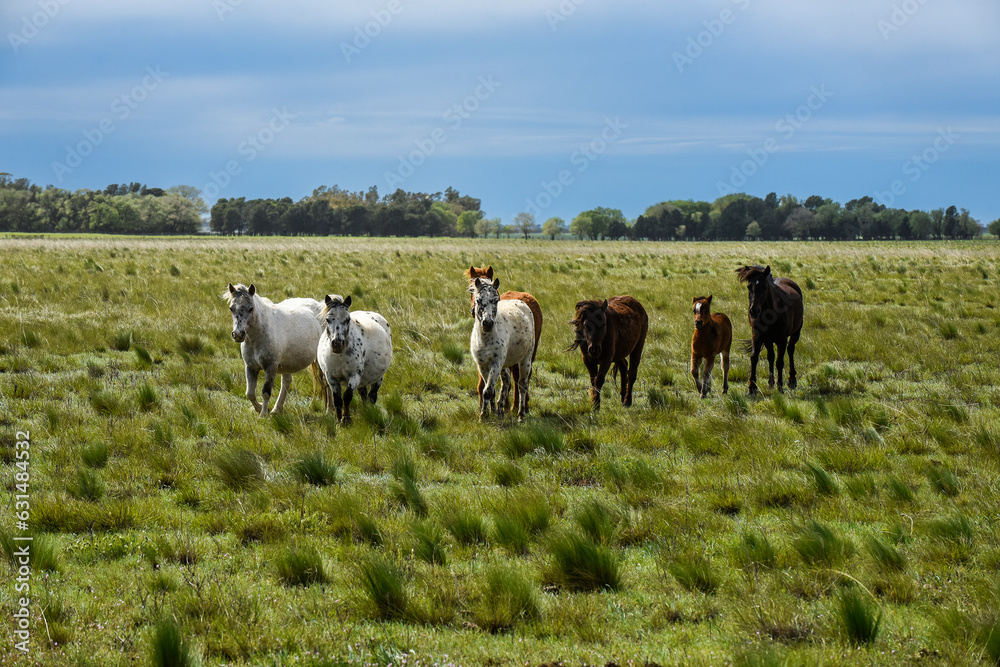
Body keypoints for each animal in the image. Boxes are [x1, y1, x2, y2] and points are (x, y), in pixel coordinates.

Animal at [224, 283, 324, 418]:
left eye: (250, 308)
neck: (257, 337)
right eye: (231, 308)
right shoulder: (251, 367)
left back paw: (330, 410)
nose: (238, 335)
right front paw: (259, 407)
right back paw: (277, 409)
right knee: (286, 381)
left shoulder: (271, 366)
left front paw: (263, 414)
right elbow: (250, 393)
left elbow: (266, 392)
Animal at [316, 294, 393, 424]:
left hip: (378, 377)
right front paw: (338, 422)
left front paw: (346, 420)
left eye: (347, 319)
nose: (337, 344)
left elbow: (347, 397)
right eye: (327, 319)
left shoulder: (354, 375)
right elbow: (337, 400)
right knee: (364, 394)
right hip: (363, 380)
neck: (340, 357)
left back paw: (370, 413)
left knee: (372, 395)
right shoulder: (331, 378)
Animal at [464, 265, 543, 414]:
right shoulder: (482, 362)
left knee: (521, 379)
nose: (487, 323)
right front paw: (487, 408)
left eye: (495, 300)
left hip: (528, 354)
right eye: (470, 290)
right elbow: (484, 385)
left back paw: (519, 406)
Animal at [734, 265, 803, 395]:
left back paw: (792, 380)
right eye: (749, 286)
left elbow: (780, 362)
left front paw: (780, 386)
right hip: (768, 340)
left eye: (764, 286)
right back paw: (771, 383)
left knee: (790, 350)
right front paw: (752, 387)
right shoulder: (757, 336)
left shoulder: (782, 339)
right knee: (771, 356)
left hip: (796, 333)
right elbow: (754, 358)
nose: (754, 311)